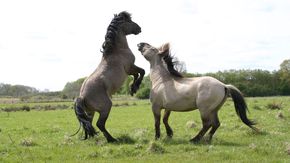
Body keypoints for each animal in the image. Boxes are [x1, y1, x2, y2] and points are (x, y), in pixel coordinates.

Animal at [73, 10, 144, 142]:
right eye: (129, 21)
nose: (139, 28)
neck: (117, 50)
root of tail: (82, 96)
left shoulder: (129, 70)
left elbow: (137, 74)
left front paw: (133, 88)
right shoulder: (130, 67)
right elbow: (141, 72)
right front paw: (134, 87)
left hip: (90, 111)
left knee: (89, 123)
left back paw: (92, 137)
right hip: (106, 107)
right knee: (99, 124)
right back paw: (112, 139)